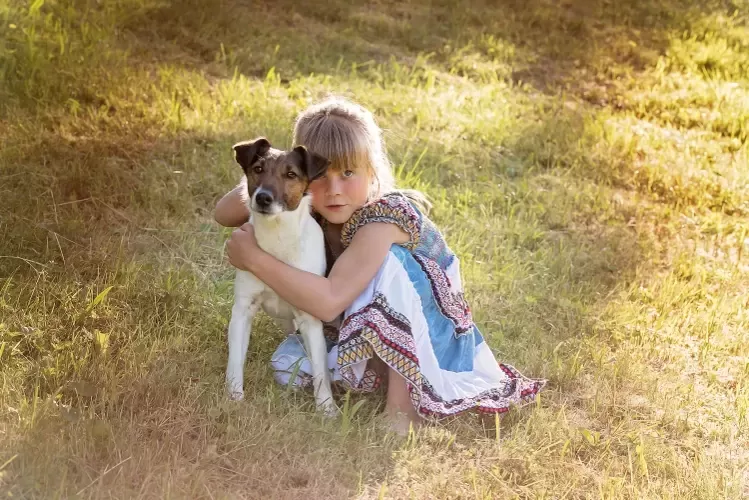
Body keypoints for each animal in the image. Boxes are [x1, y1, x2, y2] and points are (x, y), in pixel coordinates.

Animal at [225, 137, 336, 414]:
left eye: (291, 174)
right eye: (258, 169)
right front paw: (233, 396)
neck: (277, 239)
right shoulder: (243, 309)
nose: (263, 198)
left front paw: (327, 408)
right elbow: (235, 359)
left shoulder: (310, 319)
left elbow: (320, 371)